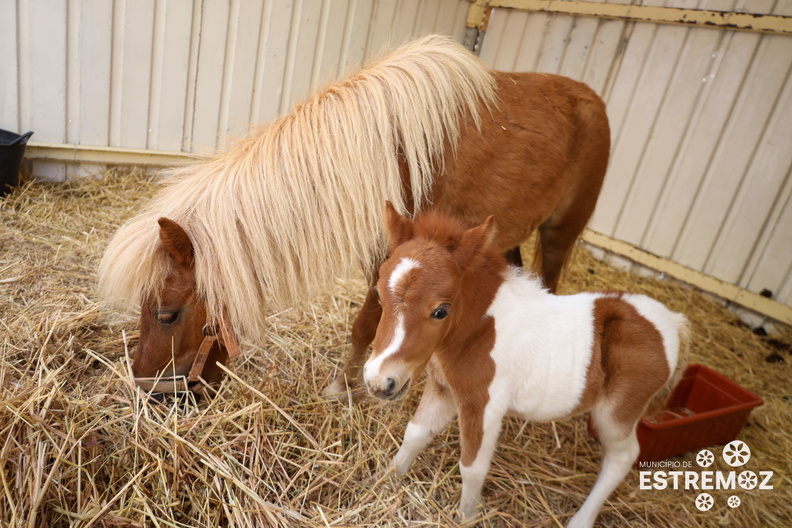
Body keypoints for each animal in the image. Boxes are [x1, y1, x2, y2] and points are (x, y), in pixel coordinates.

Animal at [96, 35, 608, 394]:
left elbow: (367, 322)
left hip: (559, 233)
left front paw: (343, 386)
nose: (147, 389)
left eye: (166, 314)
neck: (387, 153)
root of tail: (591, 98)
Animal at [364, 203, 688, 528]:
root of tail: (671, 322)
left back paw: (581, 520)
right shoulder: (443, 388)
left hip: (617, 412)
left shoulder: (484, 404)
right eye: (378, 293)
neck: (480, 329)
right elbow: (415, 434)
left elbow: (472, 467)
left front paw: (467, 517)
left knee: (623, 457)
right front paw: (384, 480)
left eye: (441, 311)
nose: (380, 381)